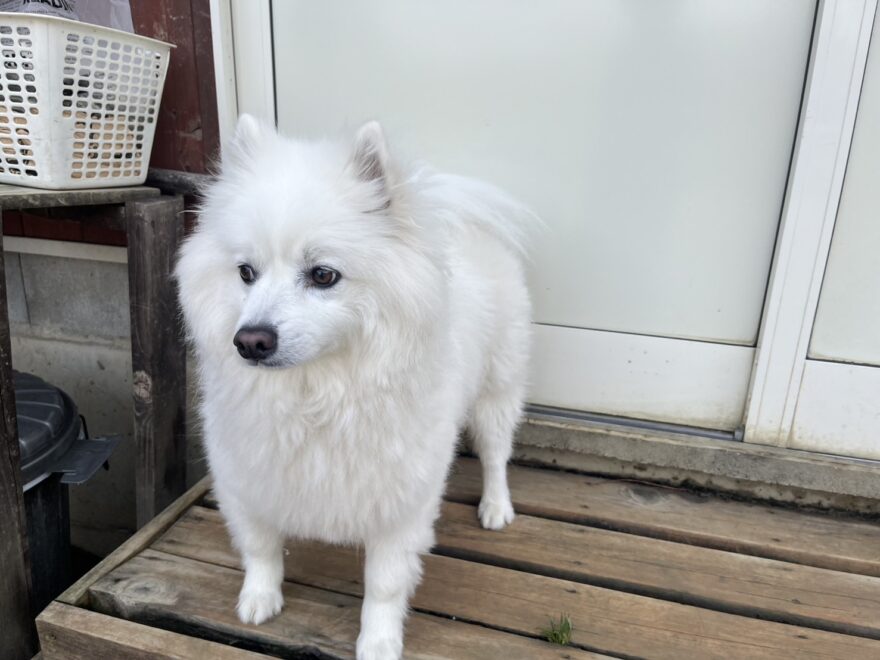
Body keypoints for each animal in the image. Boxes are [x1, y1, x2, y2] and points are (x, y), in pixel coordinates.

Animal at [175, 115, 534, 659]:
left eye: (323, 275)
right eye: (246, 272)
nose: (250, 340)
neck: (317, 393)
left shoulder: (399, 504)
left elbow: (383, 584)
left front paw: (379, 641)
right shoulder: (247, 478)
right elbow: (260, 547)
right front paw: (259, 597)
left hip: (498, 389)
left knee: (496, 455)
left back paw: (496, 507)